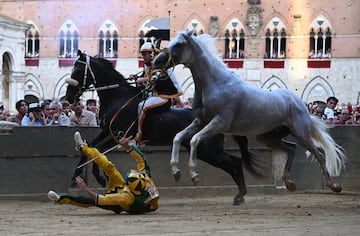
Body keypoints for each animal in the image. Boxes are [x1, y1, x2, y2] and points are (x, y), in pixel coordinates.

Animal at [65, 50, 262, 205]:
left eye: (78, 70)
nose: (69, 97)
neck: (118, 98)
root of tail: (218, 117)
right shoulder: (106, 132)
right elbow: (89, 147)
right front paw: (76, 178)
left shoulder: (116, 135)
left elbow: (96, 150)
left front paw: (100, 177)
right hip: (208, 152)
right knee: (234, 163)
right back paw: (240, 196)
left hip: (209, 151)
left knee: (234, 162)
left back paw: (240, 196)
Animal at [153, 28, 348, 193]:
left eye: (179, 44)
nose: (157, 61)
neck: (216, 84)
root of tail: (300, 105)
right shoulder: (201, 121)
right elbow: (178, 137)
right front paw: (176, 172)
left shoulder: (219, 123)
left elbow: (194, 140)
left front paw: (194, 176)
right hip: (269, 137)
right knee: (291, 148)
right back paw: (289, 182)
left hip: (301, 133)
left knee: (319, 154)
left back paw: (334, 186)